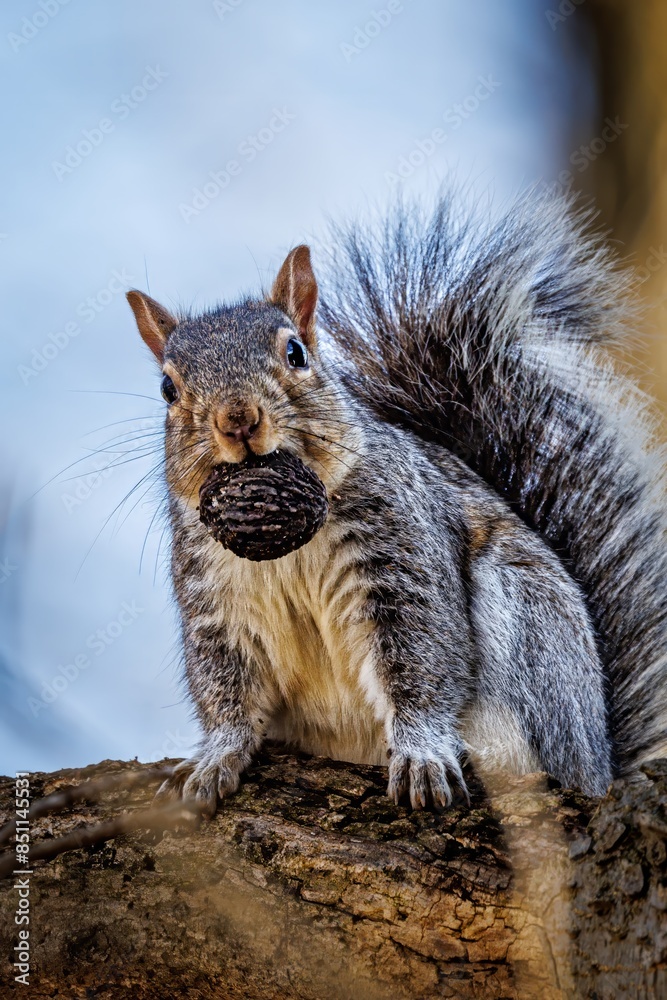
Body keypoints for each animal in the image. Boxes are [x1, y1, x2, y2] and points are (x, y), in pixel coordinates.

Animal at [126, 194, 667, 814]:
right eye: (168, 389)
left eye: (296, 352)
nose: (236, 419)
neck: (287, 548)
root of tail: (598, 760)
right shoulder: (216, 597)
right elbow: (226, 691)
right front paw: (214, 759)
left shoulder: (400, 551)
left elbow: (421, 659)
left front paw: (423, 753)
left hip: (529, 622)